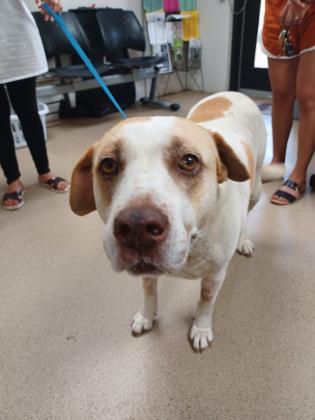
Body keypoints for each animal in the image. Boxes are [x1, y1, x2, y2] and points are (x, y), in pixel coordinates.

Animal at [69, 92, 266, 352]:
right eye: (108, 165)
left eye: (189, 161)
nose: (137, 227)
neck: (193, 243)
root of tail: (233, 93)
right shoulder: (147, 271)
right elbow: (149, 291)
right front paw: (146, 316)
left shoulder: (215, 275)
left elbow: (205, 301)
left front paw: (201, 328)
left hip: (256, 190)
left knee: (248, 214)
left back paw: (243, 241)